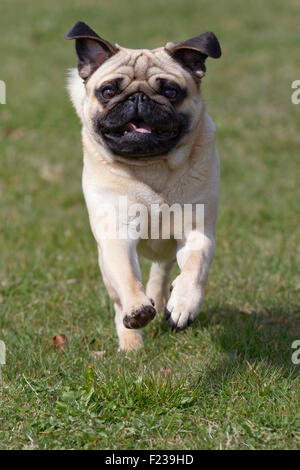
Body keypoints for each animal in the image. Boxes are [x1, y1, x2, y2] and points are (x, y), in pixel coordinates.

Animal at [65, 23, 220, 352]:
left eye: (171, 92)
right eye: (108, 91)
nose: (138, 98)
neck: (152, 167)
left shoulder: (197, 232)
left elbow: (196, 266)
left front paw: (184, 304)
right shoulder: (116, 234)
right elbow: (127, 275)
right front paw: (137, 308)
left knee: (162, 271)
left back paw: (165, 301)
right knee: (118, 300)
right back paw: (130, 342)